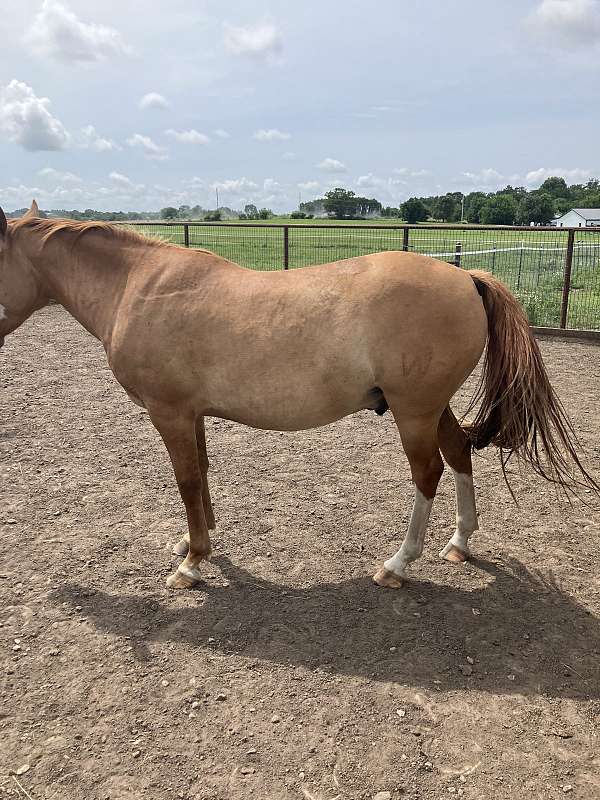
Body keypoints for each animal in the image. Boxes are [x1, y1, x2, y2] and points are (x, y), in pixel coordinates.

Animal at [0, 202, 596, 590]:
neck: (136, 286)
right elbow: (203, 474)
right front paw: (197, 543)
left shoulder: (168, 413)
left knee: (427, 472)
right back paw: (460, 543)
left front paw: (192, 564)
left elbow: (187, 480)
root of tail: (464, 276)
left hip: (414, 411)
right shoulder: (192, 413)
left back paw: (398, 565)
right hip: (432, 407)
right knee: (458, 453)